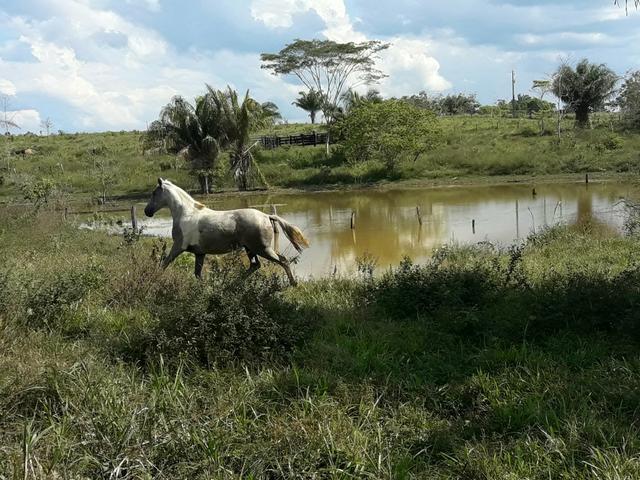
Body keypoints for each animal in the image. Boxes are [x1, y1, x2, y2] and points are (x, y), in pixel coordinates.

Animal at [143, 178, 309, 285]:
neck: (186, 213)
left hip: (262, 248)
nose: (147, 211)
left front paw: (153, 279)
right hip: (250, 249)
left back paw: (293, 284)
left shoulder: (179, 247)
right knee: (255, 266)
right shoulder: (199, 253)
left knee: (283, 261)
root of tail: (266, 216)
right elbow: (197, 274)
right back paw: (231, 285)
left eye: (154, 193)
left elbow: (164, 264)